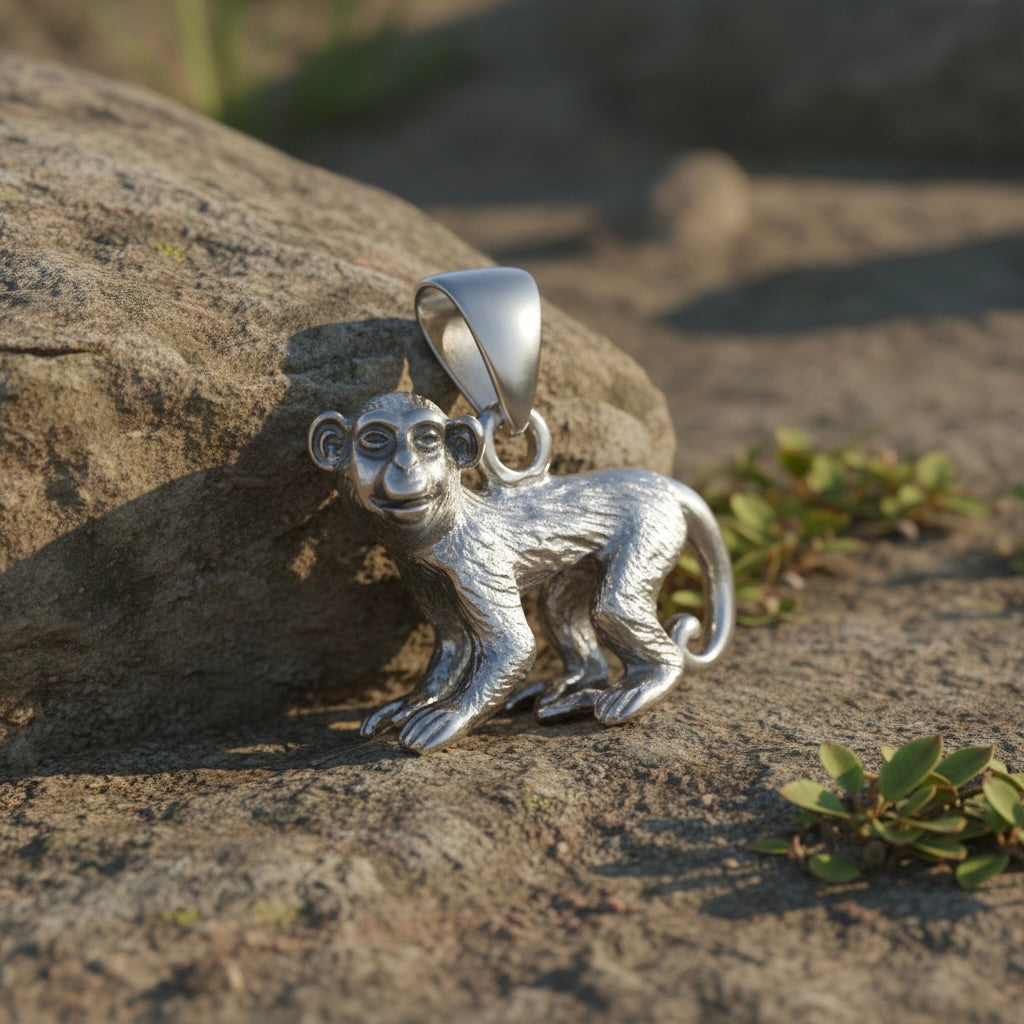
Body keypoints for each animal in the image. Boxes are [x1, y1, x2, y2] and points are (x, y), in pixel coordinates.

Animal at [309, 391, 734, 754]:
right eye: (375, 440)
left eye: (426, 440)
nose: (405, 465)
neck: (448, 523)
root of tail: (665, 484)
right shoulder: (418, 570)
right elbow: (453, 643)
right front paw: (410, 703)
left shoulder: (475, 561)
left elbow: (515, 645)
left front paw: (448, 716)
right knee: (558, 606)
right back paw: (575, 688)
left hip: (652, 530)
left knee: (613, 608)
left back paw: (637, 689)